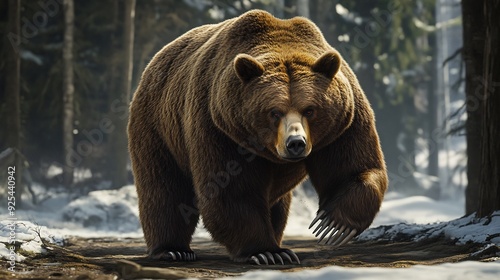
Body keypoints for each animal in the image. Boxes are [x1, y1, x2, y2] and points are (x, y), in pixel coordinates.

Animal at [128, 9, 386, 266]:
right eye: (274, 112)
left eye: (310, 110)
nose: (295, 144)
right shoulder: (220, 127)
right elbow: (231, 189)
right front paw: (267, 252)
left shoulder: (343, 123)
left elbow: (351, 167)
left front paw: (333, 224)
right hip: (159, 126)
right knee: (164, 188)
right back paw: (173, 249)